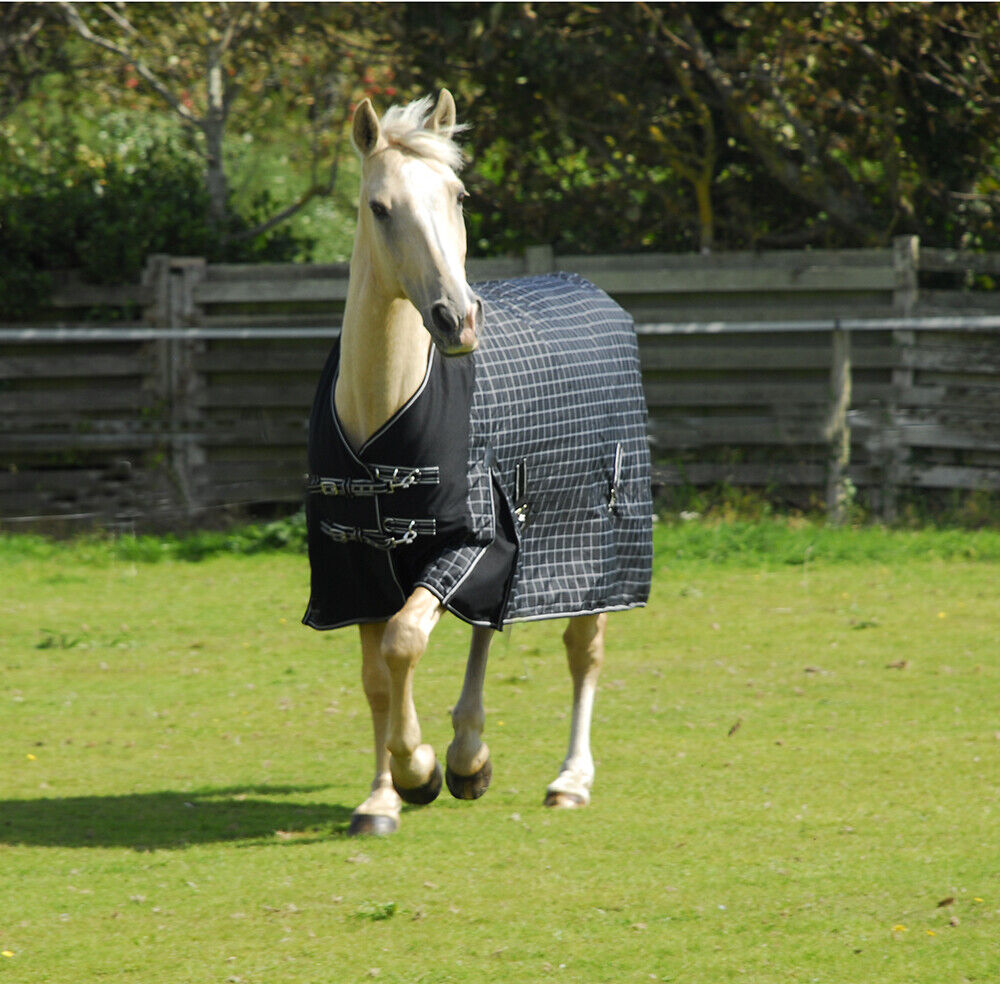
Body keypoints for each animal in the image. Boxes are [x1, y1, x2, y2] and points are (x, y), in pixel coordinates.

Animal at [302, 90, 652, 836]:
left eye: (458, 195)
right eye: (379, 207)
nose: (457, 319)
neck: (383, 408)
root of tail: (589, 290)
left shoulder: (471, 541)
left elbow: (404, 641)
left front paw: (417, 772)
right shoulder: (356, 561)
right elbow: (378, 677)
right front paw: (381, 798)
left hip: (593, 545)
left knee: (583, 650)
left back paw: (567, 779)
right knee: (487, 629)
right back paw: (469, 756)